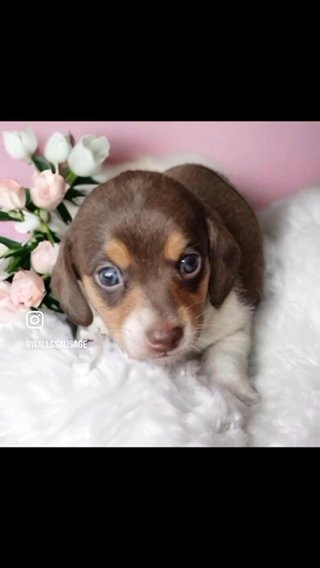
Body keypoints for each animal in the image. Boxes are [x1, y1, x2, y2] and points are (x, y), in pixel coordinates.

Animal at [51, 163, 264, 404]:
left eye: (190, 263)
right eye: (108, 276)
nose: (166, 338)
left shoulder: (235, 323)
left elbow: (226, 358)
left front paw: (231, 394)